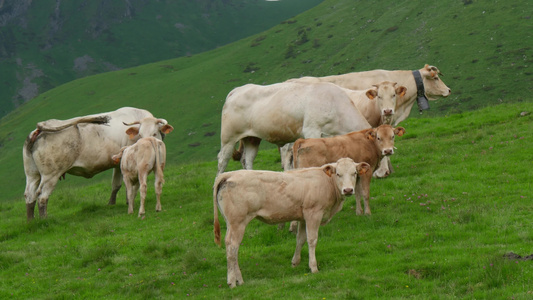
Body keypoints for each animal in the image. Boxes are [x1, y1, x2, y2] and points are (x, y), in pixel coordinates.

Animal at [22, 108, 172, 220]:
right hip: (50, 175)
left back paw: (31, 221)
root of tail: (39, 130)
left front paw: (112, 203)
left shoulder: (118, 164)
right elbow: (130, 186)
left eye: (154, 133)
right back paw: (44, 220)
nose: (145, 141)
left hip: (32, 174)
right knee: (42, 196)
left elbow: (116, 185)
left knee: (30, 195)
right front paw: (129, 203)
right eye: (140, 133)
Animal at [212, 158, 370, 288]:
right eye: (338, 174)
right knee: (233, 247)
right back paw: (233, 281)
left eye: (354, 173)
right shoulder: (314, 213)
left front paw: (295, 262)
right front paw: (313, 267)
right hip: (238, 222)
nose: (348, 190)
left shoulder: (303, 217)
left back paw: (238, 279)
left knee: (230, 246)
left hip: (231, 223)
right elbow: (312, 240)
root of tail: (229, 174)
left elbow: (300, 239)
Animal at [216, 80, 370, 173]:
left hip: (252, 138)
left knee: (247, 160)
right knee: (222, 161)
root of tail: (237, 89)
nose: (379, 174)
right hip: (228, 138)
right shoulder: (311, 130)